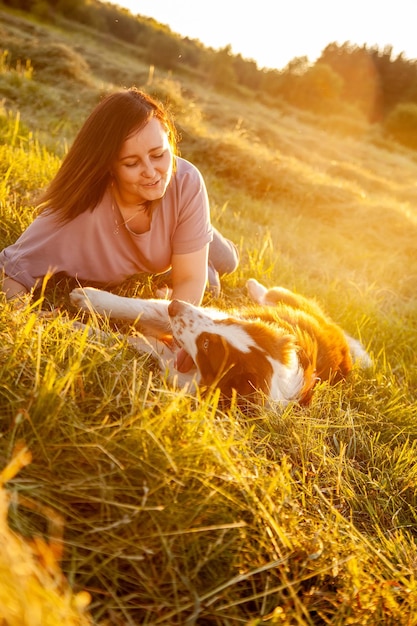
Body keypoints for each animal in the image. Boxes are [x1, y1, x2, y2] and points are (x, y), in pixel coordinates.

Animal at [69, 276, 370, 404]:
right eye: (227, 324)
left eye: (206, 346)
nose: (176, 307)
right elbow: (139, 308)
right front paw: (86, 298)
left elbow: (127, 342)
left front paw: (73, 325)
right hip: (284, 299)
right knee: (269, 293)